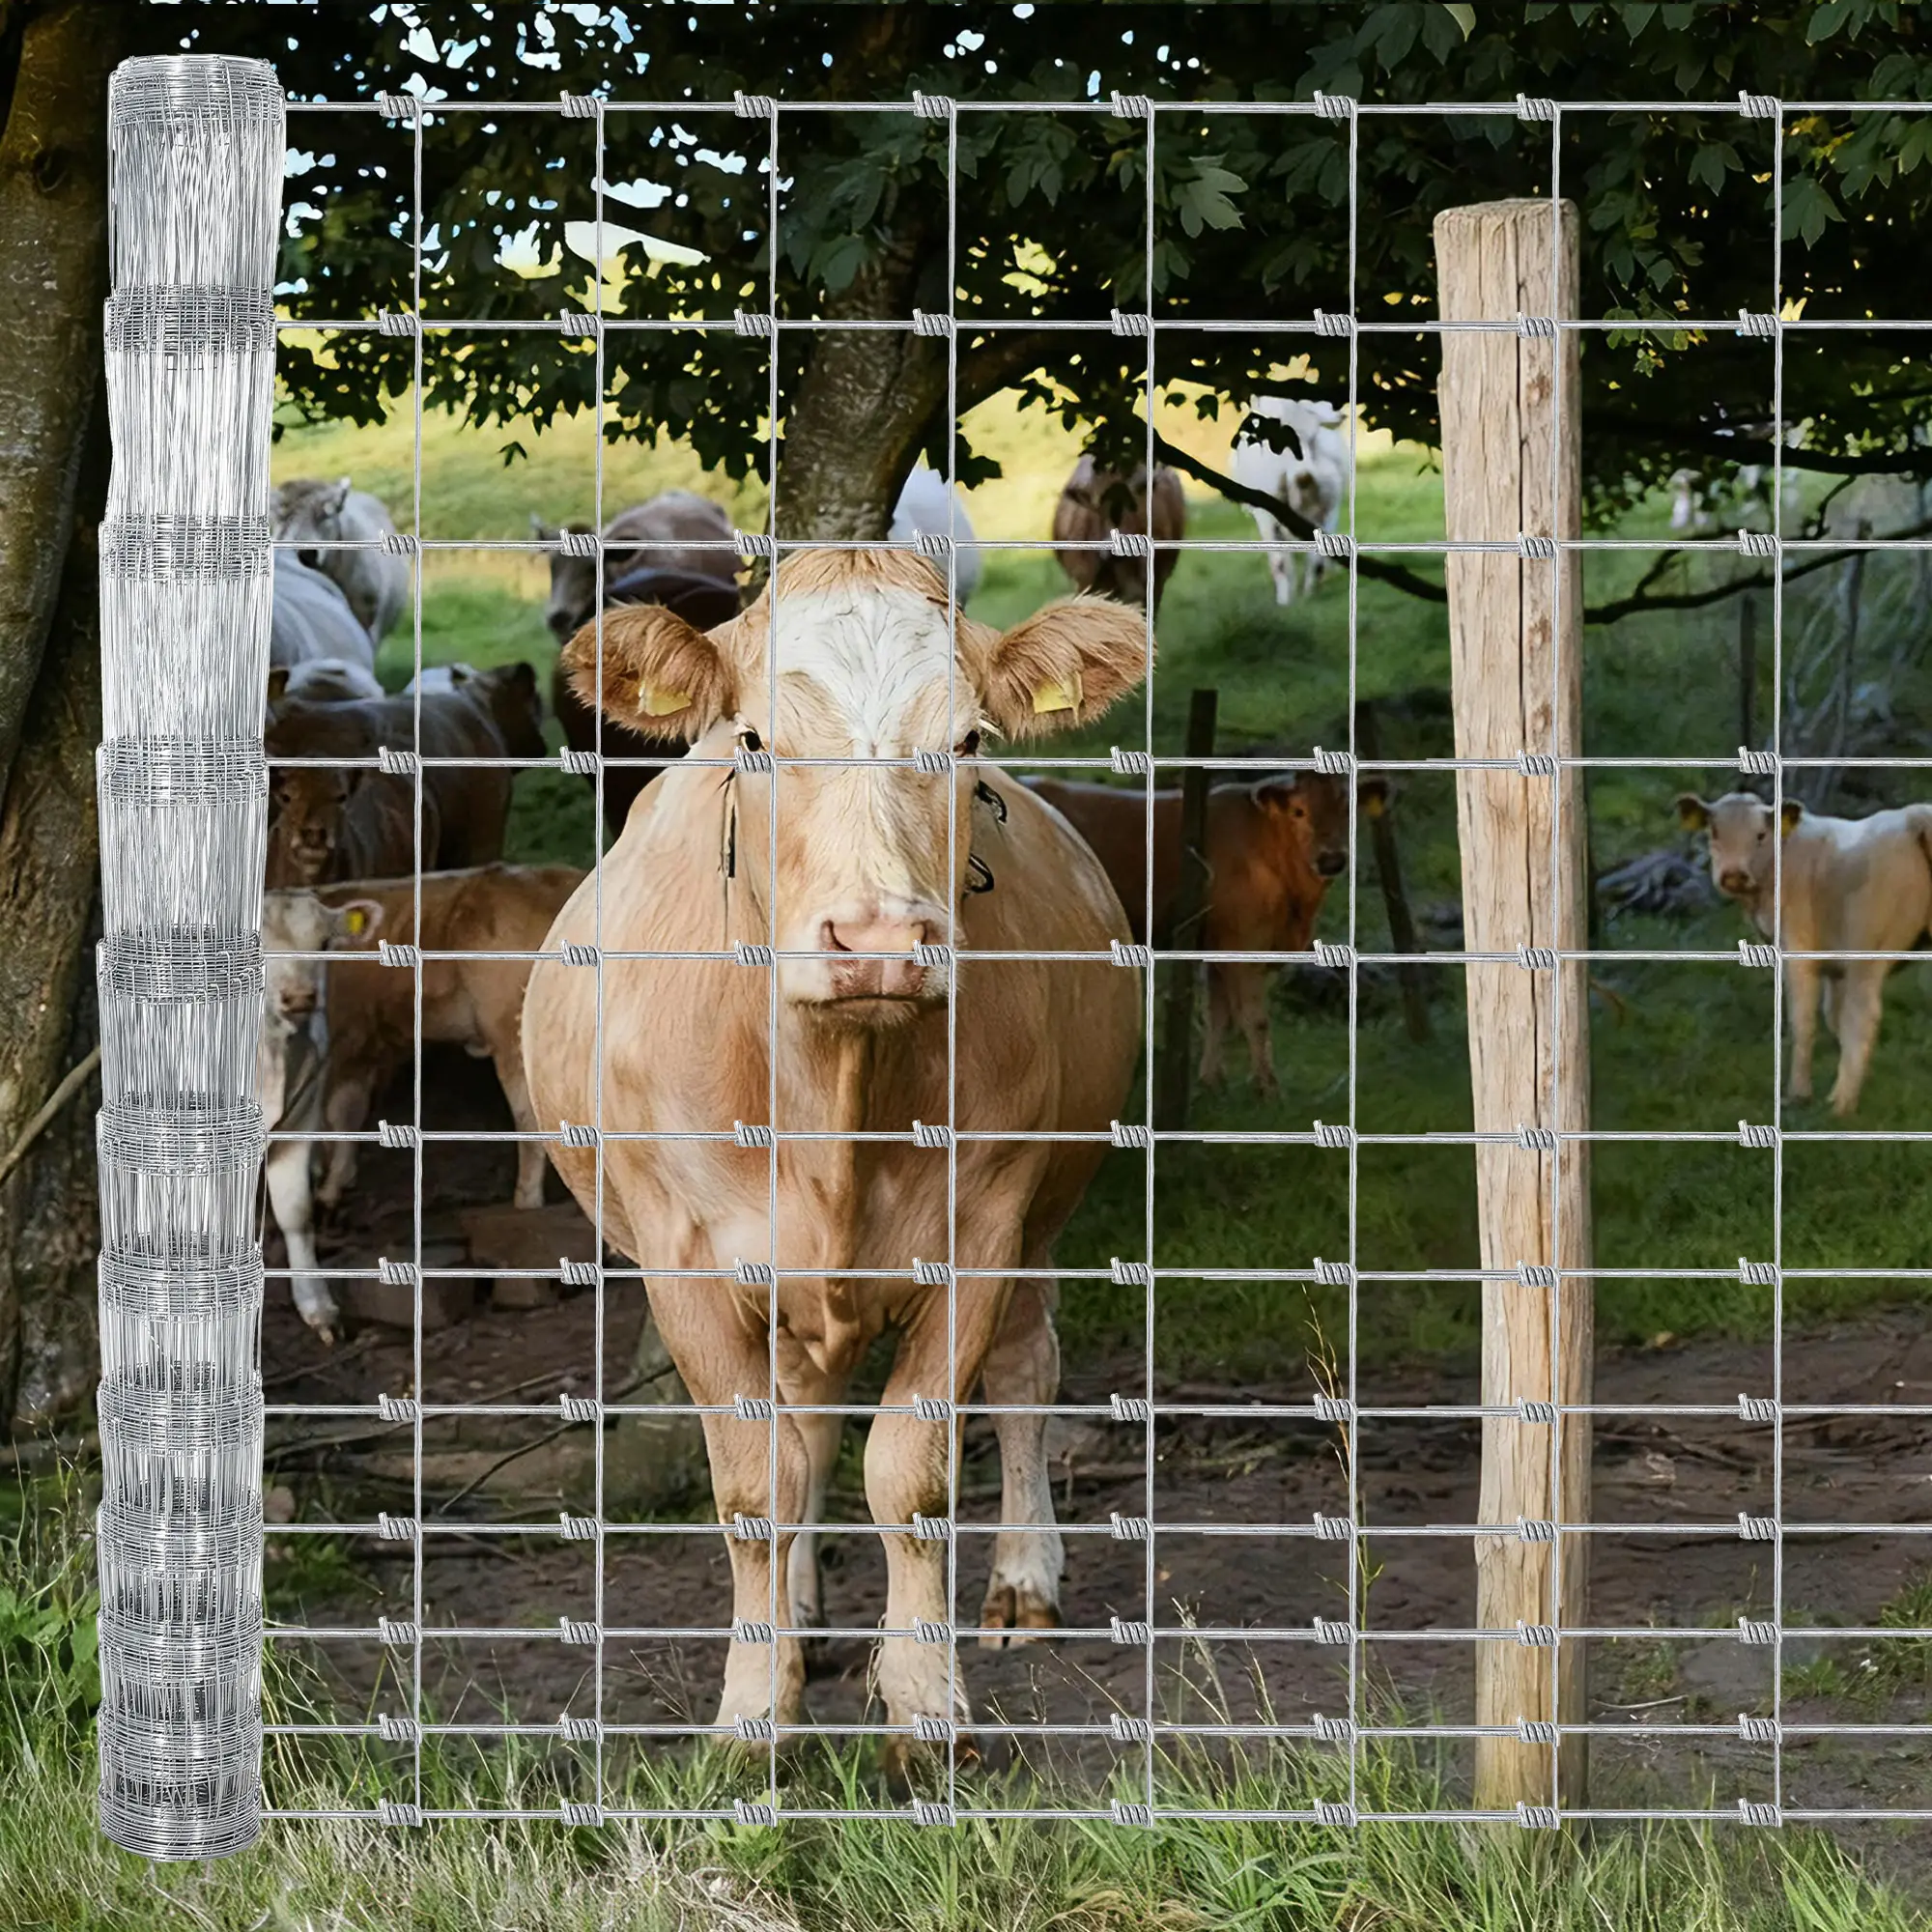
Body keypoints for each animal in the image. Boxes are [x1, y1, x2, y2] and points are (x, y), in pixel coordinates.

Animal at [295, 865, 587, 1216]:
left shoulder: (344, 1040)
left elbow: (335, 1112)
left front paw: (327, 1189)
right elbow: (352, 1109)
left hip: (511, 1031)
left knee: (529, 1114)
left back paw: (527, 1199)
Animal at [521, 549, 1148, 1769]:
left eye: (966, 739)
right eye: (756, 739)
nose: (876, 943)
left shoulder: (982, 1228)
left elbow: (910, 1472)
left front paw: (923, 1705)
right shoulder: (682, 1257)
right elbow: (757, 1483)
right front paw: (754, 1710)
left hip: (1044, 1210)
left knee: (1025, 1373)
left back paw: (1020, 1581)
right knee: (804, 1422)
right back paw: (800, 1617)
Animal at [1025, 770, 1387, 1097]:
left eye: (1348, 809)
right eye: (1299, 812)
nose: (1331, 859)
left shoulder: (1217, 945)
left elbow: (1219, 1014)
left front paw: (1212, 1080)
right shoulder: (1243, 943)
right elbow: (1254, 1018)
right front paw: (1268, 1088)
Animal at [1230, 397, 1351, 605]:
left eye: (1311, 440)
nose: (1304, 475)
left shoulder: (1326, 512)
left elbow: (1316, 556)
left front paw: (1310, 593)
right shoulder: (1266, 519)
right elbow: (1279, 562)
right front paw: (1285, 601)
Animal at [1677, 791, 1932, 1115]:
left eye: (1760, 835)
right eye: (1715, 832)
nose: (1733, 875)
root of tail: (1913, 817)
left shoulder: (1797, 948)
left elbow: (1804, 1020)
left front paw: (1800, 1094)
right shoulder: (1835, 964)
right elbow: (1833, 1017)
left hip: (1868, 951)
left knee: (1863, 1016)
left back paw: (1842, 1105)